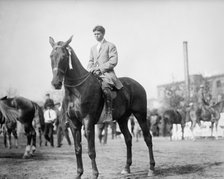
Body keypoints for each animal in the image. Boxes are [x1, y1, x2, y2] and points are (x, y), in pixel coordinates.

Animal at [48, 35, 155, 178]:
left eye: (64, 56)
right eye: (51, 56)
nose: (56, 83)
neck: (77, 90)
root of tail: (138, 85)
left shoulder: (88, 122)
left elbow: (91, 150)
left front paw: (94, 174)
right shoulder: (74, 124)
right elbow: (77, 149)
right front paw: (79, 174)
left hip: (140, 115)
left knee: (148, 138)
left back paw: (151, 168)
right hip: (122, 119)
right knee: (128, 139)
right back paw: (126, 168)